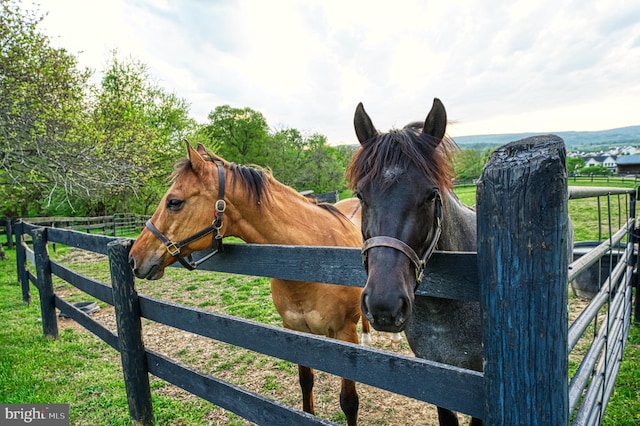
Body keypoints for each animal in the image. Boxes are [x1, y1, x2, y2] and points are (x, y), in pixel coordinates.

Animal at [127, 143, 368, 426]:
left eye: (174, 202)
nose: (134, 257)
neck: (311, 257)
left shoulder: (345, 337)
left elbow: (349, 402)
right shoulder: (295, 332)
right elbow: (305, 383)